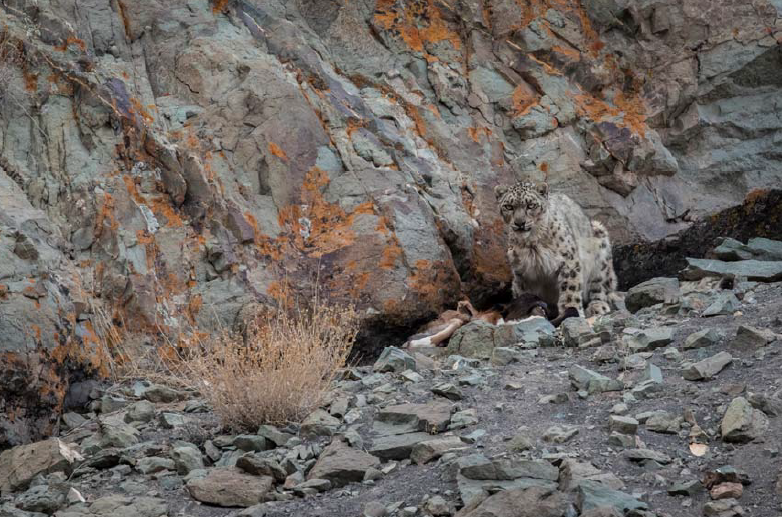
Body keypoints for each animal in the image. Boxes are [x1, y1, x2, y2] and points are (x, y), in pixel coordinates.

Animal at [494, 180, 618, 320]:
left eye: (530, 205)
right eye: (509, 206)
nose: (520, 223)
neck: (531, 243)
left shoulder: (568, 261)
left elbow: (570, 289)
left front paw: (572, 310)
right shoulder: (521, 273)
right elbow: (524, 295)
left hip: (600, 252)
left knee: (601, 286)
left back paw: (597, 307)